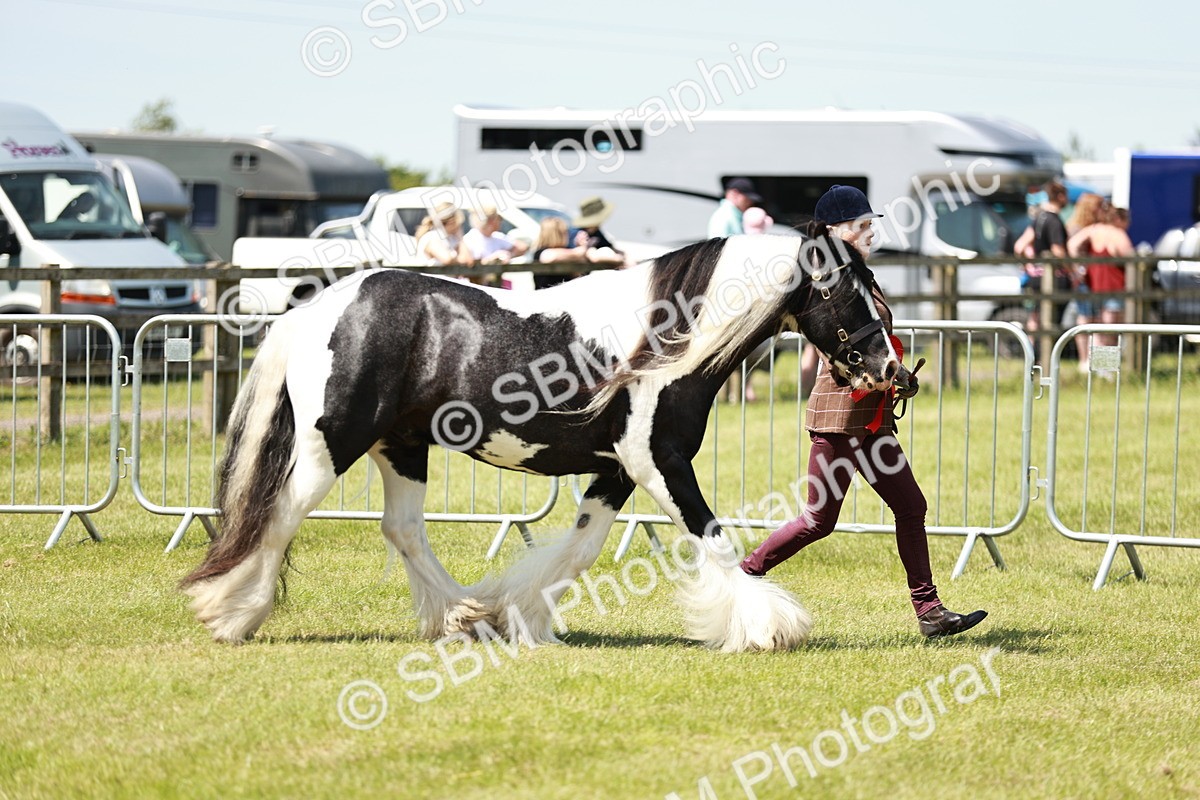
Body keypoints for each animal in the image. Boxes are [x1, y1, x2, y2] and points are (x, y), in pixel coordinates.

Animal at [180, 233, 901, 652]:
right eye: (848, 287)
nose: (891, 368)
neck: (666, 340)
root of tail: (313, 310)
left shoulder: (618, 469)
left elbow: (578, 550)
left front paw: (520, 614)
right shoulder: (659, 461)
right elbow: (715, 539)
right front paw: (770, 626)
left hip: (401, 446)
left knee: (403, 529)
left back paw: (465, 616)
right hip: (332, 442)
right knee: (280, 516)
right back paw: (234, 614)